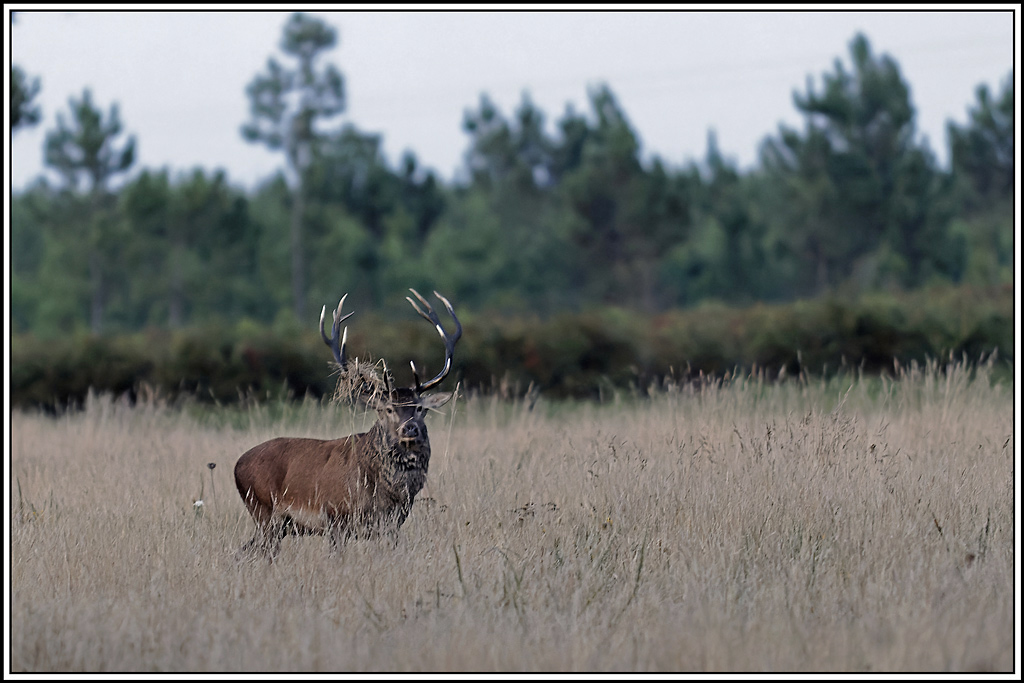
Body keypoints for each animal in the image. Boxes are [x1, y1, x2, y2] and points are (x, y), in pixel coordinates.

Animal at [234, 289, 461, 560]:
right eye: (387, 409)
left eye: (419, 408)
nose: (409, 428)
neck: (383, 493)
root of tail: (237, 466)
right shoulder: (335, 516)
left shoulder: (392, 524)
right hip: (264, 510)